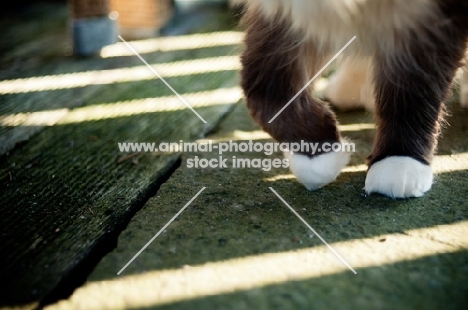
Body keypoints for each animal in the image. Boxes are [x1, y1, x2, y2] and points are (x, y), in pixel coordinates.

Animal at [231, 0, 468, 199]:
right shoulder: (284, 17)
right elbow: (266, 95)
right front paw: (318, 156)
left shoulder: (428, 17)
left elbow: (411, 92)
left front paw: (399, 159)